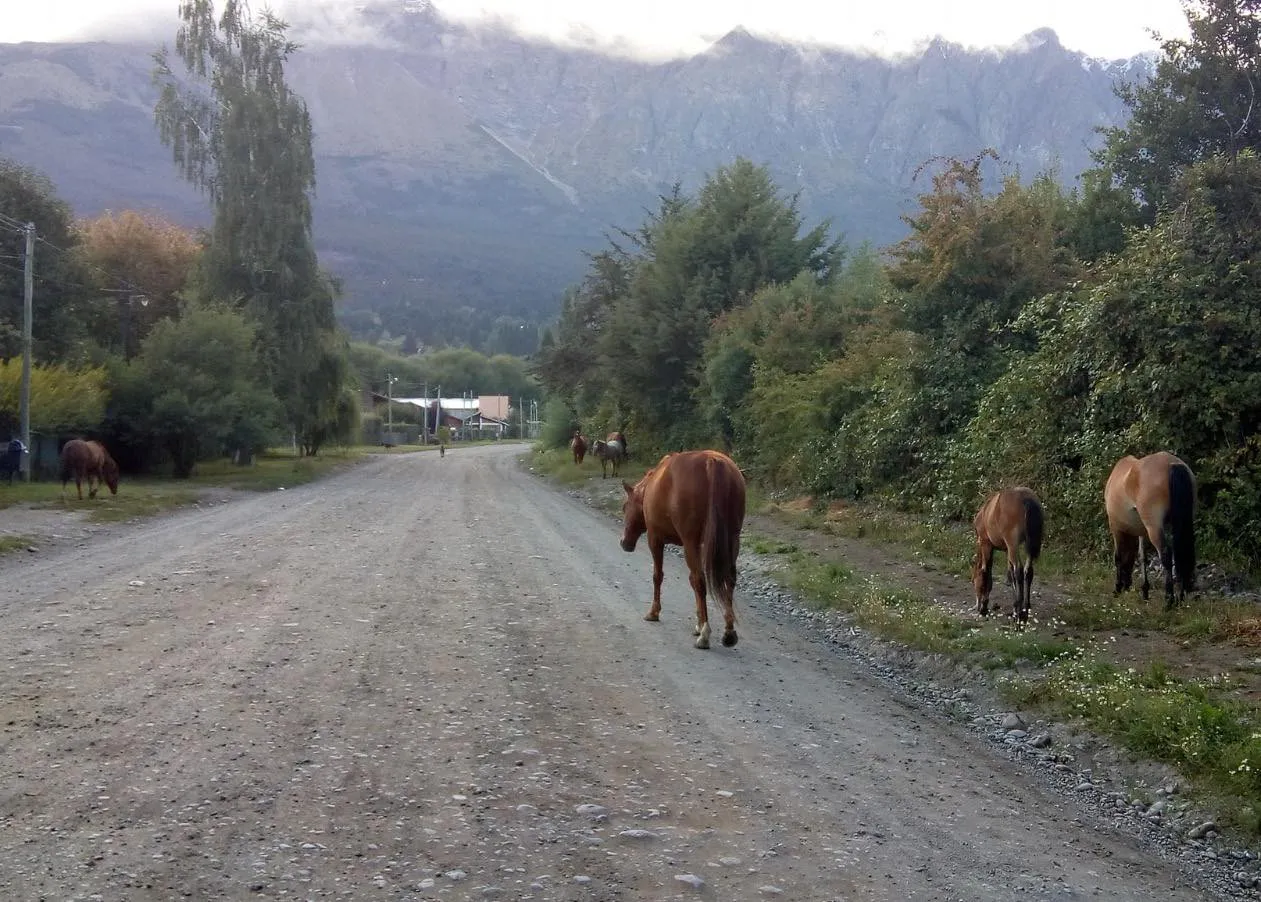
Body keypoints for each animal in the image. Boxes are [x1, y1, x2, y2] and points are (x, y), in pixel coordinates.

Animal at [620, 450, 747, 649]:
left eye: (625, 507)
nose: (624, 542)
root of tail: (712, 461)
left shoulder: (655, 539)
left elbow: (658, 576)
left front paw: (654, 612)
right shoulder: (700, 546)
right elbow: (691, 581)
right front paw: (698, 622)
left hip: (690, 542)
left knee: (701, 580)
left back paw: (705, 635)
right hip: (732, 540)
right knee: (728, 580)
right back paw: (728, 632)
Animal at [971, 487, 1044, 624]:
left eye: (973, 580)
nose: (976, 605)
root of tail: (1024, 497)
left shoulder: (986, 544)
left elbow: (986, 572)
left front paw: (984, 608)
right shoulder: (1006, 550)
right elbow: (1010, 574)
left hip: (1013, 544)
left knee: (1019, 571)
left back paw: (1018, 612)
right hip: (1022, 547)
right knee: (1027, 571)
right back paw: (1025, 607)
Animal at [1105, 451, 1196, 608]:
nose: (1127, 586)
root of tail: (1172, 464)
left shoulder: (1116, 527)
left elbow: (1118, 557)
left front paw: (1117, 588)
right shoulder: (1141, 531)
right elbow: (1142, 558)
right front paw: (1145, 591)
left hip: (1154, 527)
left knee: (1166, 554)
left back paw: (1169, 600)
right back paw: (1181, 596)